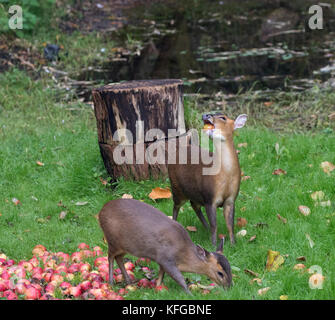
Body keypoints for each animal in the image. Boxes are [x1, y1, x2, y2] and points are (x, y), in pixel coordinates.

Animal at [98, 199, 232, 294]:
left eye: (230, 268)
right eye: (220, 273)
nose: (230, 287)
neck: (183, 254)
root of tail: (101, 212)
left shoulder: (161, 261)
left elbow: (161, 276)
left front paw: (157, 288)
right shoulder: (166, 259)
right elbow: (179, 278)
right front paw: (189, 293)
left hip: (125, 246)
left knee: (119, 258)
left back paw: (129, 281)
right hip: (112, 240)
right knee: (110, 257)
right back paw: (111, 282)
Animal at [169, 114, 248, 246]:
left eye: (223, 117)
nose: (205, 115)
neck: (226, 175)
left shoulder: (230, 199)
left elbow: (230, 224)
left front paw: (233, 243)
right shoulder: (210, 197)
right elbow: (214, 224)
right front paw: (214, 244)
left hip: (194, 193)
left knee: (194, 205)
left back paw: (205, 227)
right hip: (176, 186)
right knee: (176, 206)